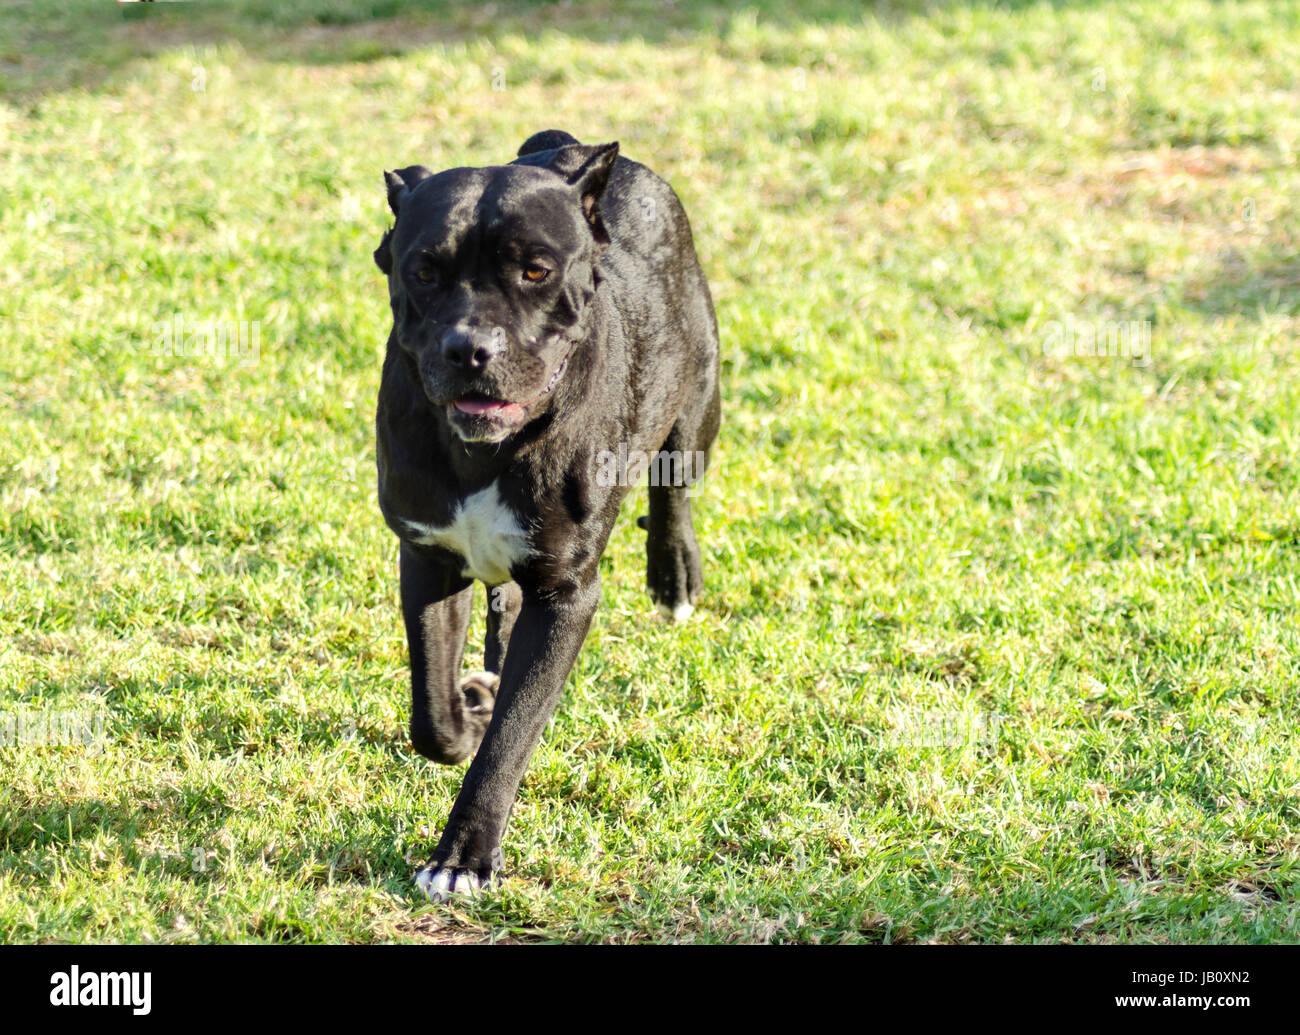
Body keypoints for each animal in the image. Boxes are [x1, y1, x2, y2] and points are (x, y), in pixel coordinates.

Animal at [374, 129, 722, 899]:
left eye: (536, 271)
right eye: (424, 271)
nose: (470, 348)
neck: (489, 453)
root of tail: (570, 147)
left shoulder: (565, 597)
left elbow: (511, 737)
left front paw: (462, 857)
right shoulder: (429, 558)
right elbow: (432, 711)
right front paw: (470, 711)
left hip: (698, 404)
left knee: (673, 484)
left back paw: (674, 574)